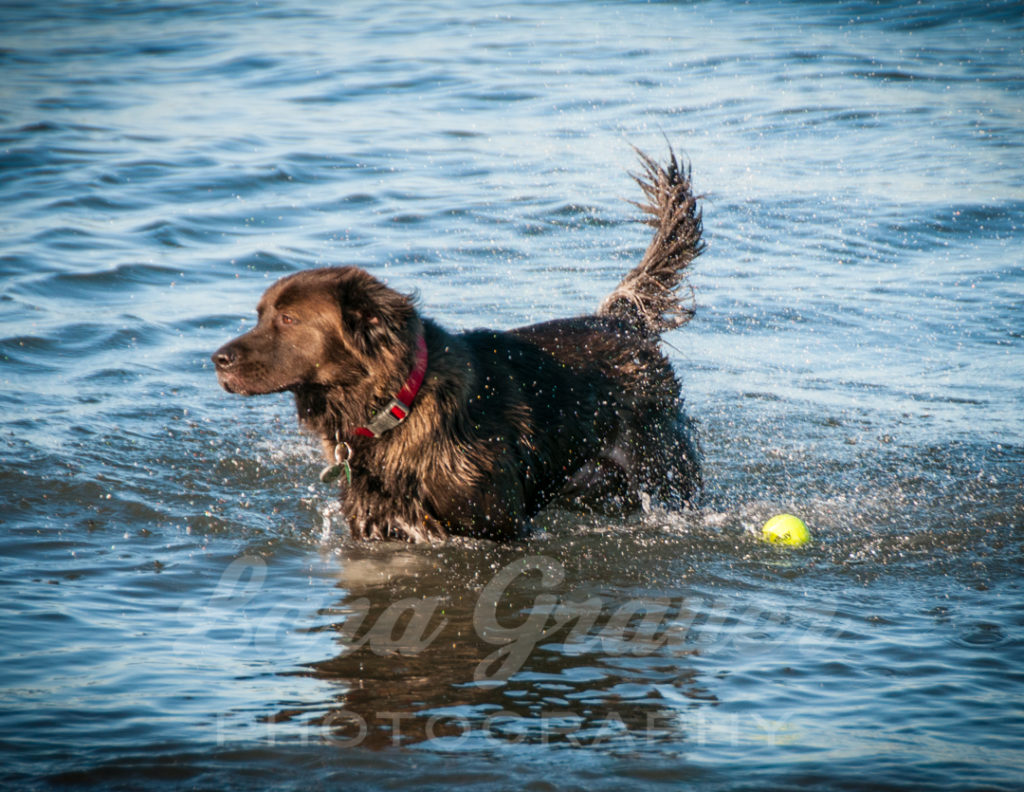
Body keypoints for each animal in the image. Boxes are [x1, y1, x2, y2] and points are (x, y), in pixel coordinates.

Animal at [211, 148, 700, 540]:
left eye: (288, 320)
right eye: (260, 315)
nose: (217, 359)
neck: (399, 406)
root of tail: (621, 321)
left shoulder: (500, 526)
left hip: (665, 471)